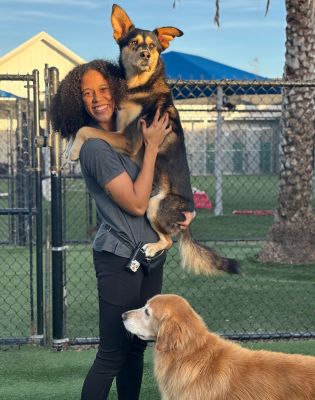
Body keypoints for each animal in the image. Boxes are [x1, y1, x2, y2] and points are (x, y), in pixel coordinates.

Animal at [68, 4, 239, 276]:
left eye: (153, 46)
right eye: (133, 42)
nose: (146, 55)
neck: (140, 86)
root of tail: (188, 216)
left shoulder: (128, 139)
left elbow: (86, 128)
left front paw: (72, 151)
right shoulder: (118, 128)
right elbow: (90, 127)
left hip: (155, 205)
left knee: (169, 241)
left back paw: (151, 247)